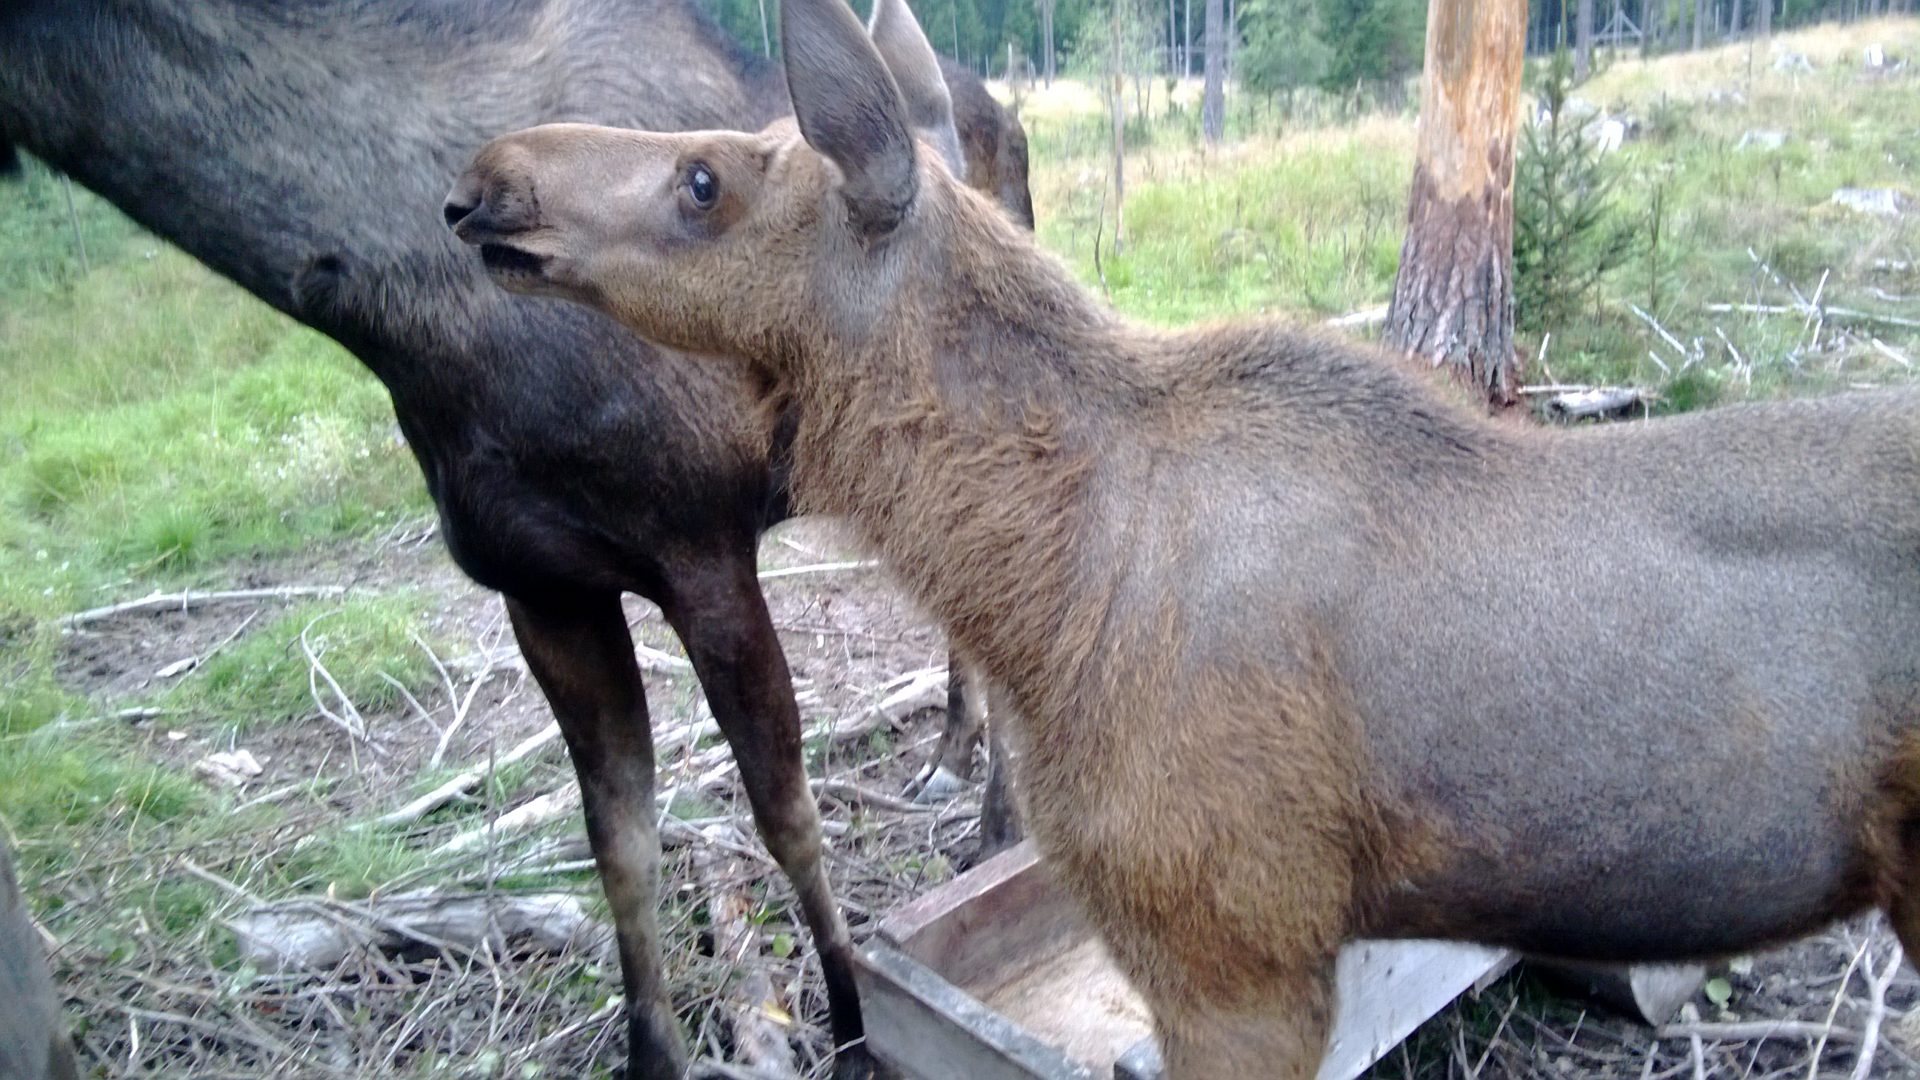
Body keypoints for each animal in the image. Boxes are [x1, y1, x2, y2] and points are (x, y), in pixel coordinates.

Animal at [0, 0, 1029, 1068]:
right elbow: (618, 844)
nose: (476, 203)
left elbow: (786, 815)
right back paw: (951, 762)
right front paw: (653, 1051)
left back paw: (997, 826)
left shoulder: (702, 552)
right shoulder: (542, 588)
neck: (388, 318)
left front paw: (854, 1017)